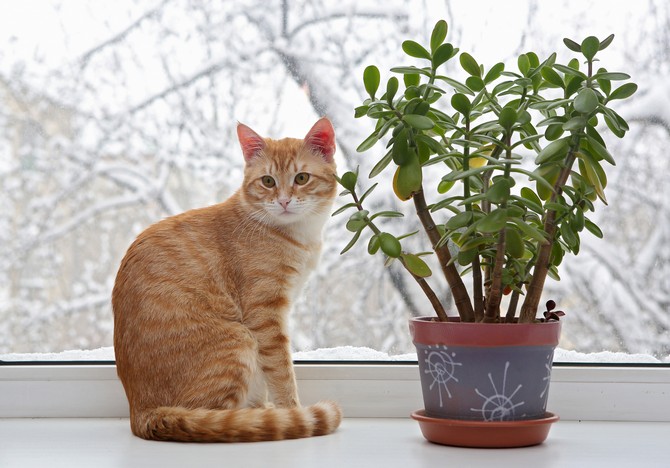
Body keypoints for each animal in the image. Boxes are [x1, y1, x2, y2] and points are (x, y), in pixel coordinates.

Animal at [112, 118, 342, 442]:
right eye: (268, 181)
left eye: (302, 178)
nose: (284, 201)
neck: (298, 235)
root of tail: (141, 413)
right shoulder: (265, 317)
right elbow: (282, 371)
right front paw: (291, 410)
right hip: (239, 341)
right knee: (215, 418)